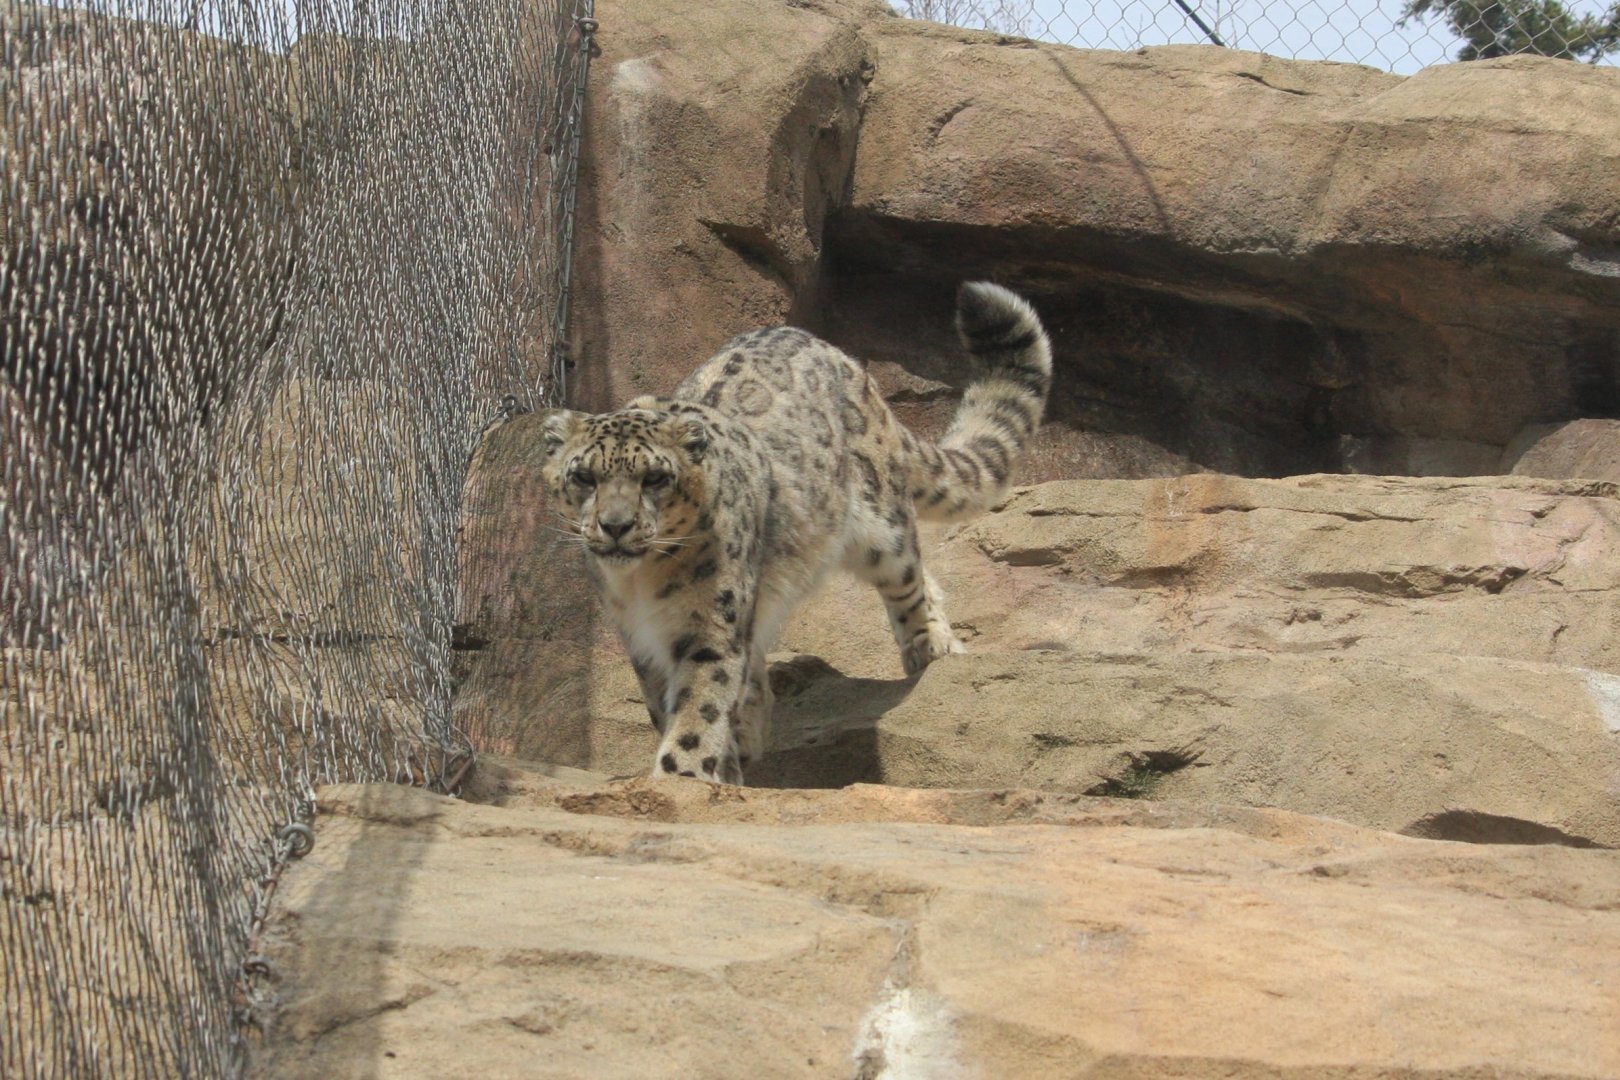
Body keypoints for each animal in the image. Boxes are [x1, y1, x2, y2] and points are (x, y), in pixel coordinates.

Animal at [540, 281, 1052, 784]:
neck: (641, 581)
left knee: (909, 577)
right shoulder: (640, 637)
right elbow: (670, 702)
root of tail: (841, 357)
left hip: (881, 526)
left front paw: (681, 775)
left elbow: (699, 707)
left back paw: (929, 644)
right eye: (584, 477)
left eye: (654, 479)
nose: (616, 526)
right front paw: (718, 766)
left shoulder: (710, 623)